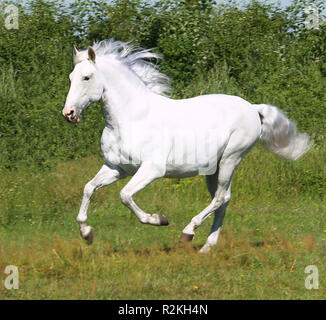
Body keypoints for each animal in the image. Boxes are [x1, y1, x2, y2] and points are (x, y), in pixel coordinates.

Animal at [61, 40, 310, 252]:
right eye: (71, 77)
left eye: (86, 77)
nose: (69, 114)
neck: (131, 118)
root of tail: (252, 108)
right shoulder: (117, 168)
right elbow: (89, 188)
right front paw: (87, 234)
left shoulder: (152, 169)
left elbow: (125, 195)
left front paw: (159, 219)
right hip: (214, 168)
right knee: (224, 199)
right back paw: (207, 247)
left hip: (231, 158)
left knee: (220, 198)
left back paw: (188, 233)